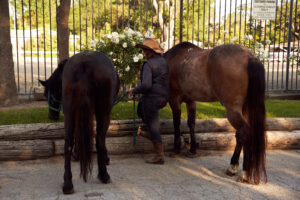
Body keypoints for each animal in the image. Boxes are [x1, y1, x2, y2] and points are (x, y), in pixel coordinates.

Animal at [40, 50, 119, 195]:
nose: (51, 116)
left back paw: (67, 183)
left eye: (50, 94)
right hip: (103, 111)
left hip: (70, 111)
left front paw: (77, 153)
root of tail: (84, 63)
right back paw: (103, 175)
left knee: (68, 143)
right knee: (100, 139)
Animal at [164, 42, 268, 184]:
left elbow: (176, 124)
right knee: (241, 135)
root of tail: (249, 56)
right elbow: (191, 124)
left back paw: (243, 172)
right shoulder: (191, 101)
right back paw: (234, 166)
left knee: (244, 133)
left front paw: (176, 148)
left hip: (232, 111)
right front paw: (192, 149)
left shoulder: (174, 100)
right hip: (245, 109)